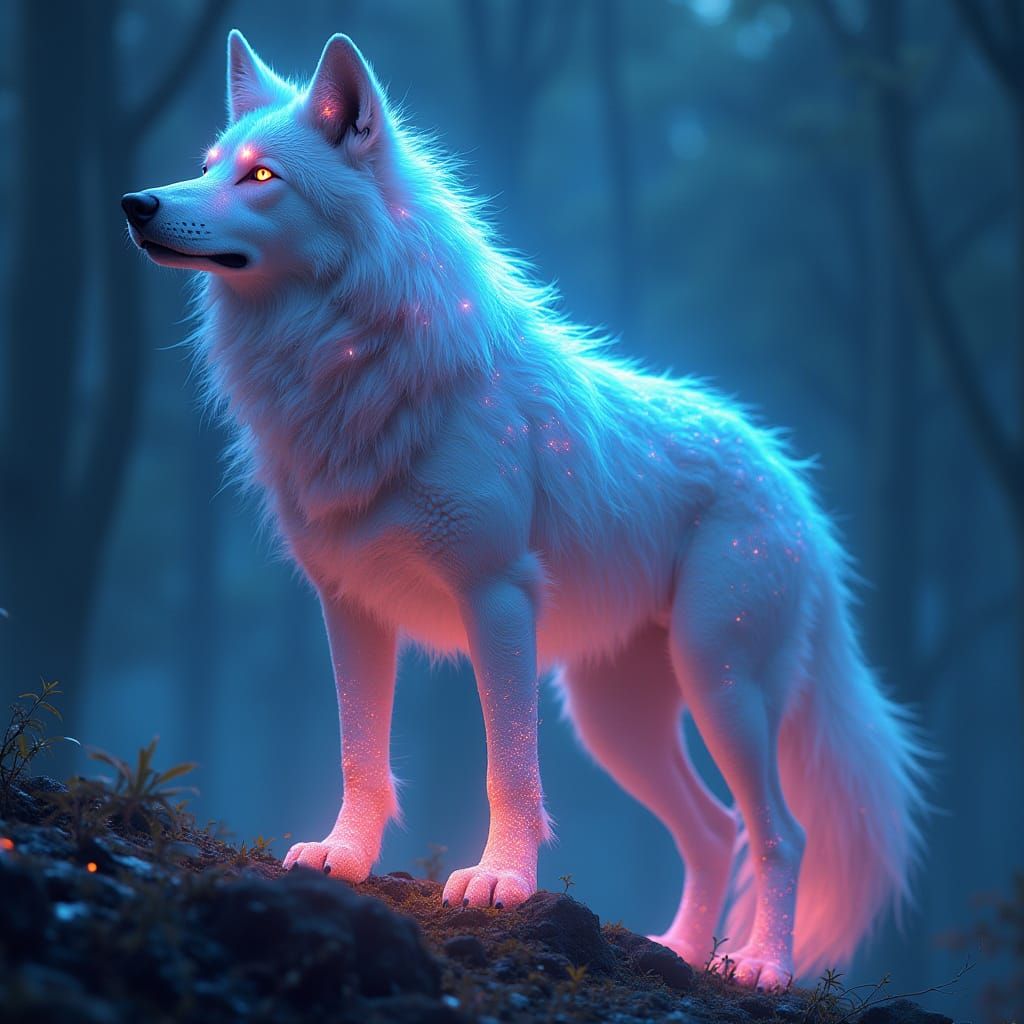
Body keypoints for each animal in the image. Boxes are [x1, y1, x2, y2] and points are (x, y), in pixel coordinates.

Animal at [122, 30, 928, 989]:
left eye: (261, 177)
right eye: (207, 166)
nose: (136, 203)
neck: (351, 364)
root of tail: (794, 483)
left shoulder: (496, 599)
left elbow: (508, 767)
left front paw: (500, 882)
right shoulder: (349, 608)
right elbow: (362, 754)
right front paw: (342, 859)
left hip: (721, 684)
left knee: (780, 833)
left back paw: (761, 965)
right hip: (618, 721)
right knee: (714, 829)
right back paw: (676, 951)